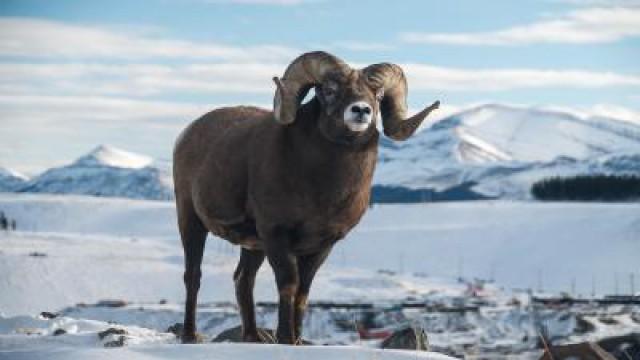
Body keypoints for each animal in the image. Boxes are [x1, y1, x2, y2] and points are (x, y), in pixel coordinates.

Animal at [172, 50, 438, 344]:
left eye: (378, 95)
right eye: (330, 90)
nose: (360, 111)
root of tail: (186, 135)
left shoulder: (321, 246)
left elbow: (303, 292)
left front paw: (297, 341)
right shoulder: (276, 235)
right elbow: (288, 285)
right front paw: (286, 338)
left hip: (253, 246)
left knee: (243, 280)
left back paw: (253, 337)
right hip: (191, 222)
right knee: (193, 276)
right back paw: (190, 335)